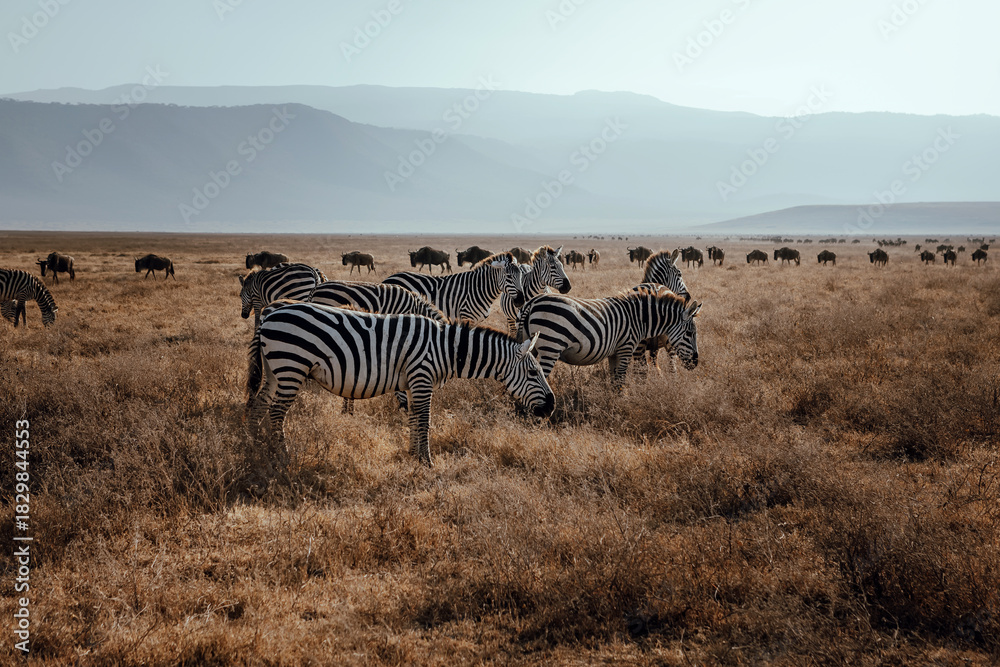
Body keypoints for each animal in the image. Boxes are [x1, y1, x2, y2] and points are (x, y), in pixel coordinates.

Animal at [246, 301, 554, 465]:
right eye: (533, 373)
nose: (551, 407)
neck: (445, 349)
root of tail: (269, 314)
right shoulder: (422, 376)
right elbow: (425, 420)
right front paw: (428, 462)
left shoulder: (412, 382)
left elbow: (414, 418)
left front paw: (413, 455)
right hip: (291, 365)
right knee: (276, 412)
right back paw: (282, 456)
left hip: (275, 370)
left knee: (258, 407)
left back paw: (258, 447)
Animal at [383, 252, 524, 322]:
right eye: (508, 276)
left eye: (521, 275)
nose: (521, 301)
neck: (478, 289)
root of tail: (388, 279)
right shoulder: (466, 317)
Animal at [516, 287, 702, 390]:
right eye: (690, 333)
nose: (695, 363)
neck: (638, 318)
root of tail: (532, 302)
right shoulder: (626, 347)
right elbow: (620, 378)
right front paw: (621, 404)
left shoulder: (614, 353)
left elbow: (613, 379)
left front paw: (612, 403)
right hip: (550, 346)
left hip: (531, 344)